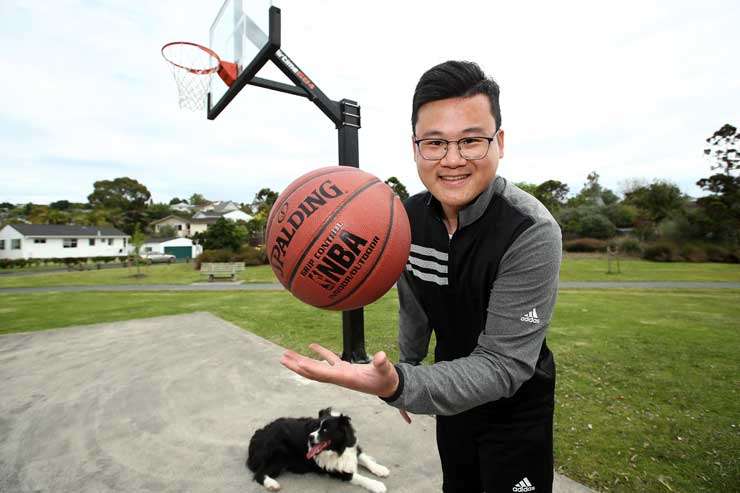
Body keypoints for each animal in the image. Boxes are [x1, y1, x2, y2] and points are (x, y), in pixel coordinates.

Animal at [247, 406, 390, 490]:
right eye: (316, 427)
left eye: (325, 430)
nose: (310, 437)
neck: (337, 449)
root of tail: (257, 436)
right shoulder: (333, 469)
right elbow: (357, 476)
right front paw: (377, 485)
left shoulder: (351, 446)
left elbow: (364, 458)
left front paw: (380, 469)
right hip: (280, 454)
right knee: (258, 474)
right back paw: (272, 484)